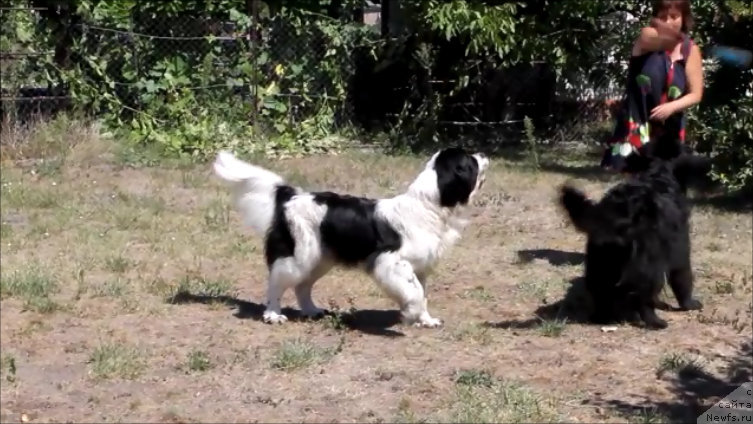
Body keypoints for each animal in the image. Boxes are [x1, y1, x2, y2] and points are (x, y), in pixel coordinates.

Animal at [214, 148, 490, 328]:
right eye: (470, 160)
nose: (484, 154)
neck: (427, 206)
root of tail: (292, 196)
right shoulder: (390, 262)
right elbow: (413, 293)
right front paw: (411, 314)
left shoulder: (419, 269)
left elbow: (421, 293)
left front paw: (426, 320)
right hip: (299, 256)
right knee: (277, 282)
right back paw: (272, 314)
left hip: (320, 259)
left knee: (302, 286)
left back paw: (312, 311)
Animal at [560, 137, 708, 330]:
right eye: (689, 151)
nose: (705, 161)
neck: (659, 173)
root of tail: (621, 213)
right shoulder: (679, 249)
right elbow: (683, 279)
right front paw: (689, 304)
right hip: (649, 265)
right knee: (642, 298)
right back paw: (656, 322)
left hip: (600, 262)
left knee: (601, 293)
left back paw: (602, 317)